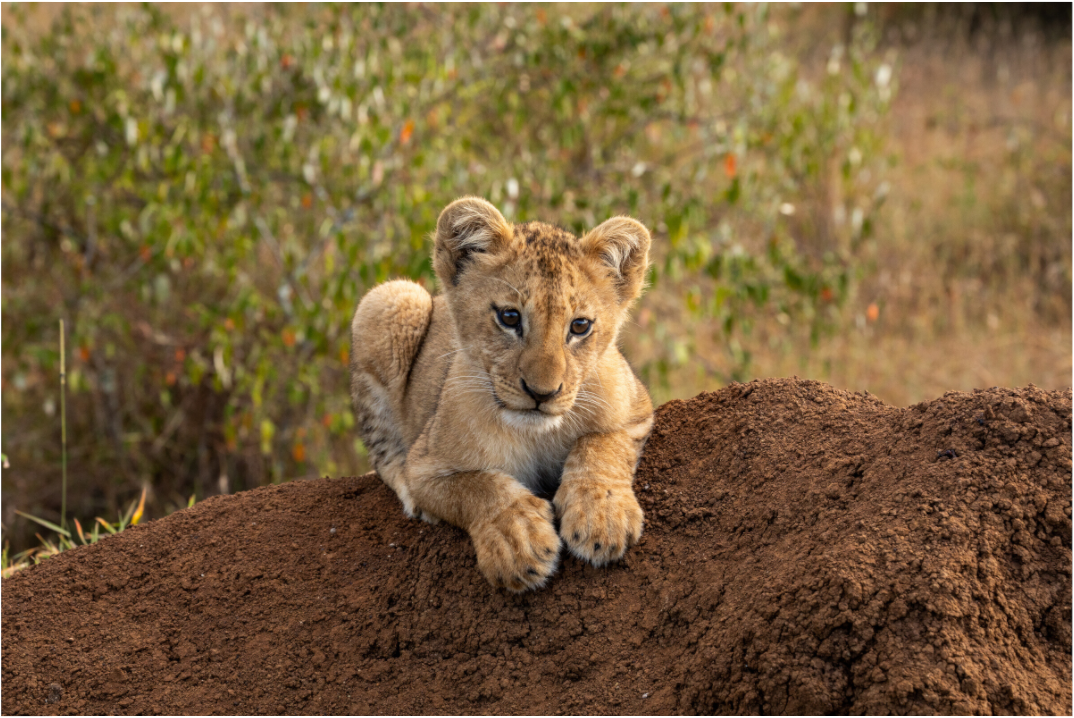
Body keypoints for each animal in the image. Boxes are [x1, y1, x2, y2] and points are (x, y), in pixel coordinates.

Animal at [350, 197, 654, 591]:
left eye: (580, 326)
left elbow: (601, 445)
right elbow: (478, 487)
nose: (542, 393)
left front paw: (601, 516)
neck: (535, 435)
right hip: (392, 299)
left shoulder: (636, 407)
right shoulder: (426, 467)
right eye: (509, 317)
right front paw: (518, 539)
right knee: (383, 451)